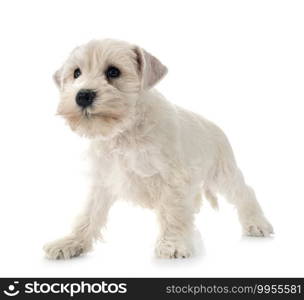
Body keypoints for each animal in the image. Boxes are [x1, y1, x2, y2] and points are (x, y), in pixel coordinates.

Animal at [44, 38, 274, 258]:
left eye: (113, 71)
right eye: (76, 73)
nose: (82, 95)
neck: (124, 131)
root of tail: (216, 127)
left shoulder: (172, 179)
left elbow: (172, 213)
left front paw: (172, 245)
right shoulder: (103, 179)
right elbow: (88, 214)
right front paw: (70, 243)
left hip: (223, 174)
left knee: (245, 193)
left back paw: (257, 223)